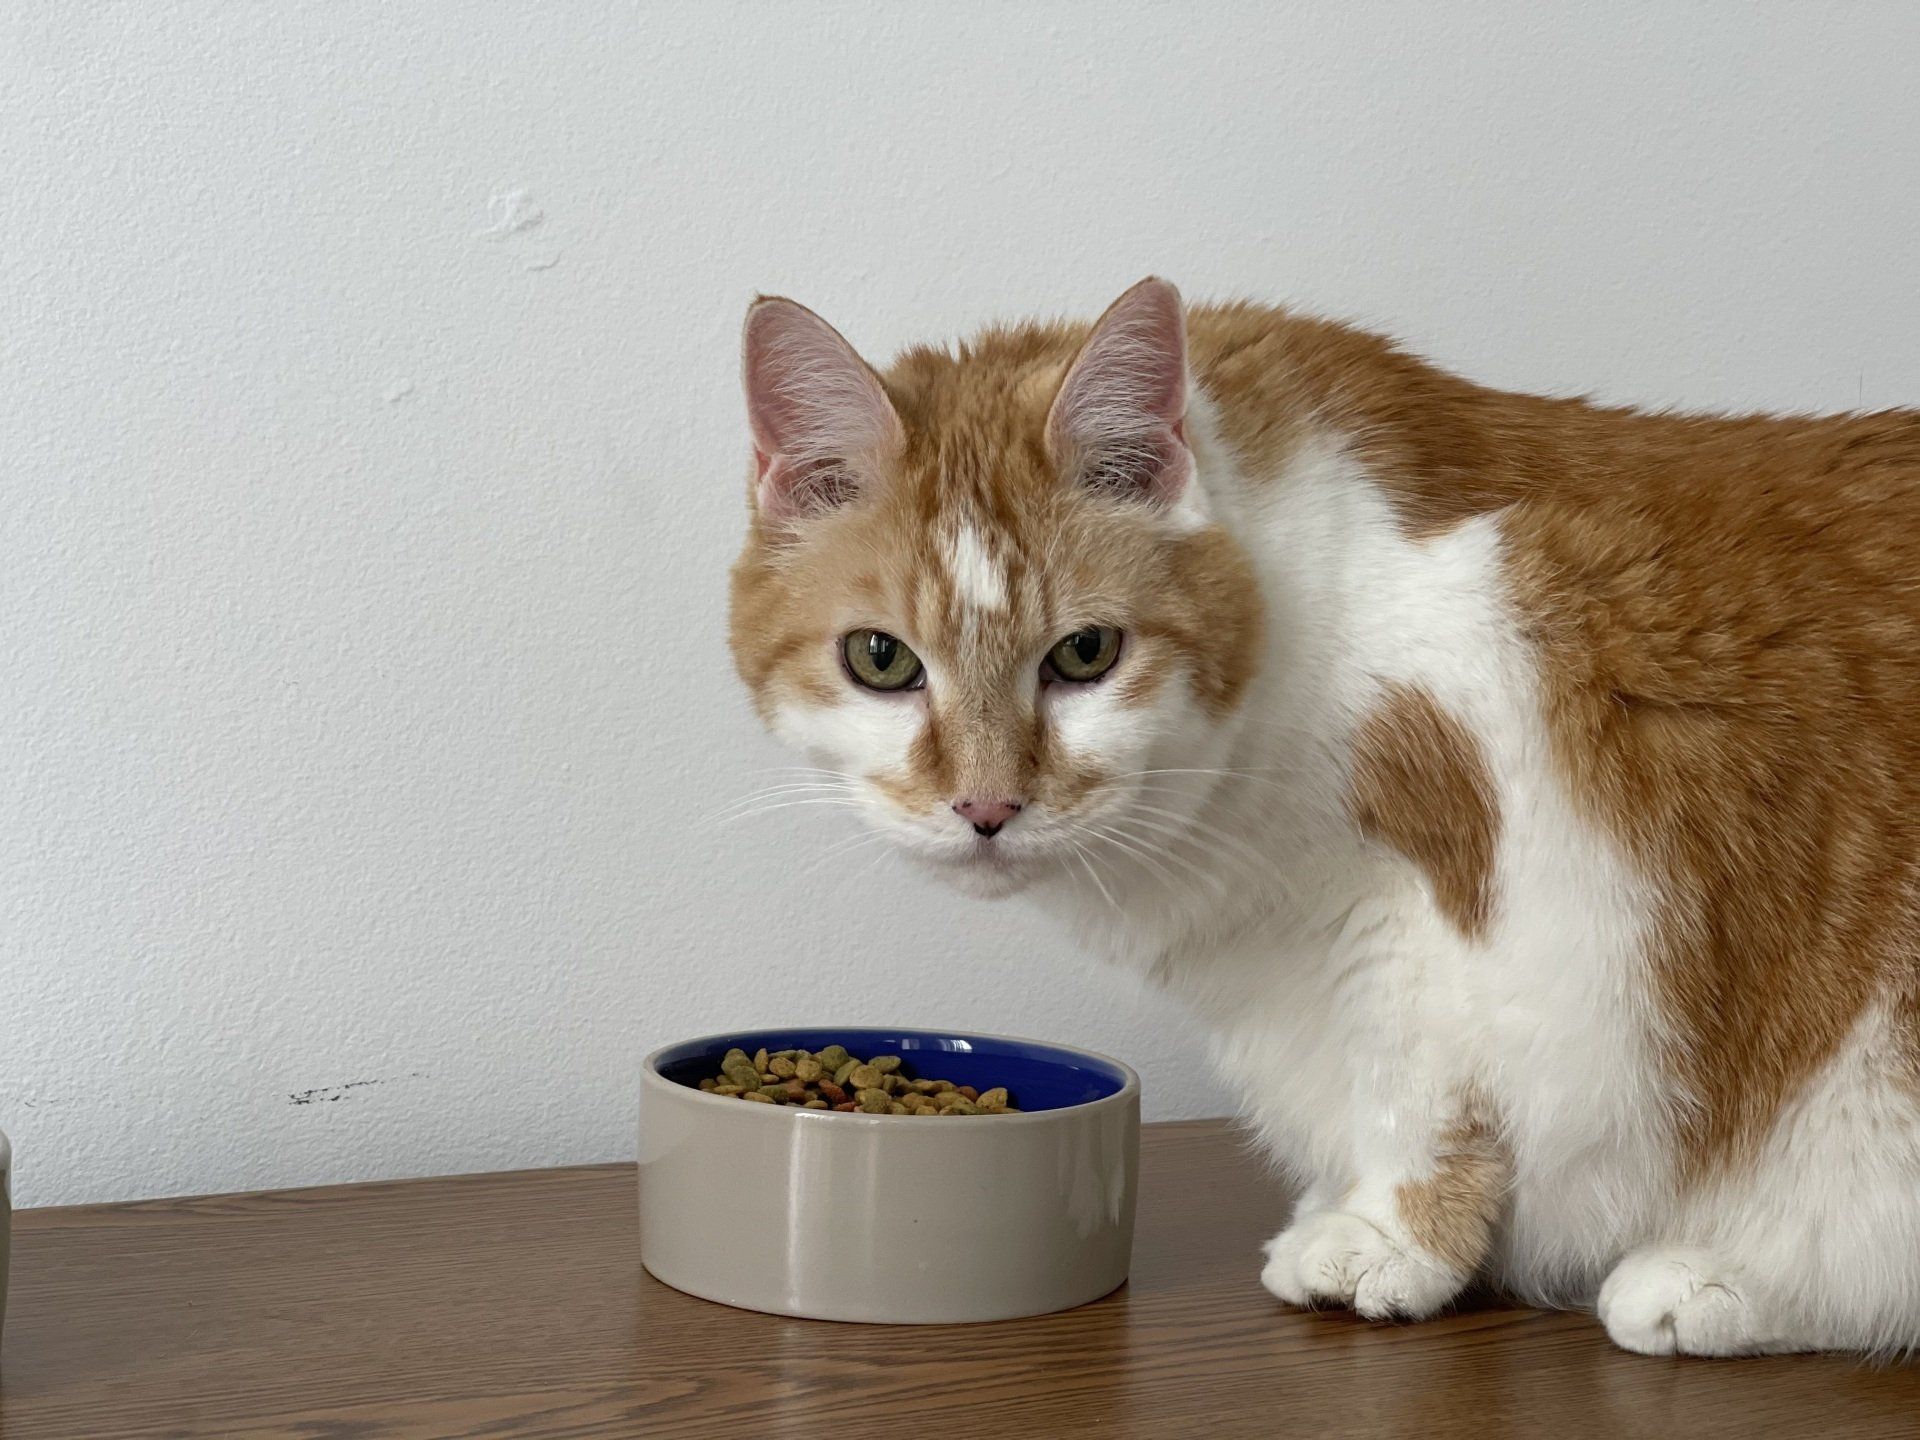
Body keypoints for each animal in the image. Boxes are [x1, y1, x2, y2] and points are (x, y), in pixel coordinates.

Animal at [727, 277, 1920, 1357]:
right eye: (881, 660)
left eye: (1086, 653)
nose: (986, 805)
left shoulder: (1466, 868)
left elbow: (1423, 1085)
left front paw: (1394, 1239)